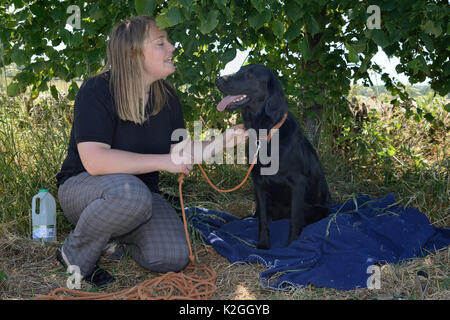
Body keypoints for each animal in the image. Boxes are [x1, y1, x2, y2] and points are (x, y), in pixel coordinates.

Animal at [216, 64, 332, 250]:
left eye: (249, 74)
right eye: (240, 70)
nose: (217, 79)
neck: (264, 133)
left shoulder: (297, 184)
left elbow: (295, 219)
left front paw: (293, 245)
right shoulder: (258, 183)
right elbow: (262, 219)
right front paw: (263, 244)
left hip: (319, 209)